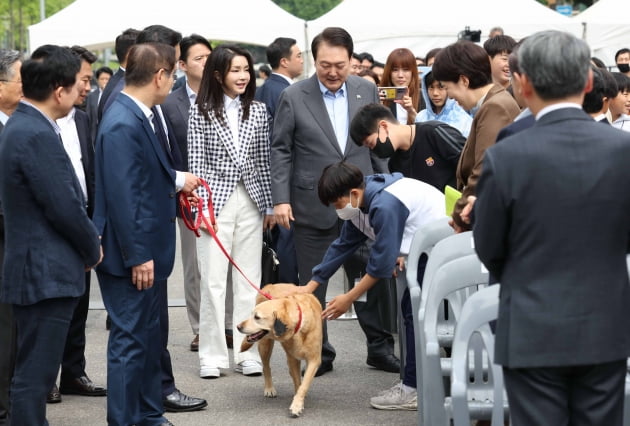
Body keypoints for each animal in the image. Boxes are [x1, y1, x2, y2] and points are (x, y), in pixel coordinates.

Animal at [238, 284, 324, 418]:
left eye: (257, 317)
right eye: (252, 315)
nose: (238, 327)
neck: (299, 326)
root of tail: (270, 285)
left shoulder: (314, 360)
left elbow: (303, 385)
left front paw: (297, 403)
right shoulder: (293, 359)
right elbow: (298, 383)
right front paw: (298, 404)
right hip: (265, 345)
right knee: (266, 367)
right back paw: (269, 388)